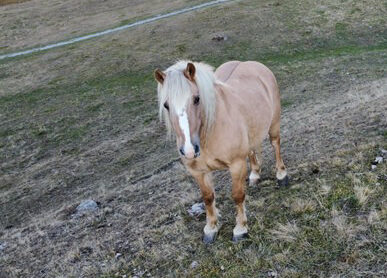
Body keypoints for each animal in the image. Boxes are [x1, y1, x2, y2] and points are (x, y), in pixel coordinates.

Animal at [154, 60, 288, 243]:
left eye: (197, 99)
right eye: (166, 105)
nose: (189, 150)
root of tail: (251, 64)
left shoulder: (236, 165)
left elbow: (237, 195)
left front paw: (240, 229)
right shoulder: (198, 172)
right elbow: (208, 198)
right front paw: (211, 228)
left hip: (274, 125)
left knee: (275, 145)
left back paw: (282, 175)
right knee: (252, 152)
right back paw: (254, 175)